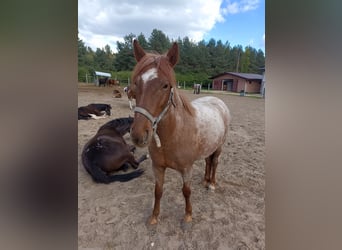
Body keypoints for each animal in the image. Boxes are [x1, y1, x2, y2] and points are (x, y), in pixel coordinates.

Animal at [130, 40, 231, 226]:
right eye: (136, 83)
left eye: (165, 85)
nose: (138, 135)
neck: (172, 135)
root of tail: (217, 100)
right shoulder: (158, 167)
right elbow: (158, 191)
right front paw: (154, 217)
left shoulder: (186, 169)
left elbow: (186, 191)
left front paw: (188, 215)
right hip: (209, 146)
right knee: (208, 161)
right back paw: (205, 180)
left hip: (219, 146)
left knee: (215, 162)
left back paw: (212, 183)